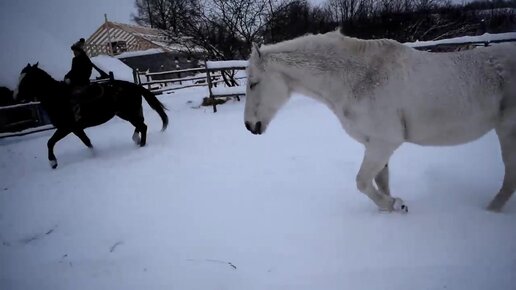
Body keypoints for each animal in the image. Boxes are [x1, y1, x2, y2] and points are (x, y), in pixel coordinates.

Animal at [15, 63, 168, 168]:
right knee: (141, 125)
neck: (59, 98)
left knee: (143, 126)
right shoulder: (76, 129)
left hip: (129, 113)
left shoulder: (66, 128)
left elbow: (50, 142)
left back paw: (141, 144)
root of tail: (134, 86)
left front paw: (53, 163)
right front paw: (94, 154)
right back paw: (136, 140)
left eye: (26, 80)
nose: (15, 96)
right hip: (125, 113)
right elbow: (87, 141)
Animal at [243, 30, 516, 213]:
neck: (358, 77)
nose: (249, 126)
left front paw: (397, 204)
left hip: (507, 131)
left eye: (253, 83)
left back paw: (489, 212)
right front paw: (390, 208)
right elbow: (380, 182)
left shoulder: (384, 143)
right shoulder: (375, 146)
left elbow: (362, 182)